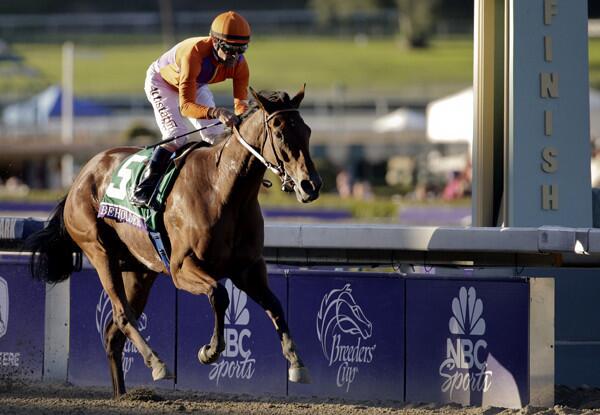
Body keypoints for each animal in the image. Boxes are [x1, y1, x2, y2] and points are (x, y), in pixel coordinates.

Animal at [25, 87, 322, 396]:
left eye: (307, 130)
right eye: (280, 133)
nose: (310, 185)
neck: (222, 189)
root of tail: (79, 178)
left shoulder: (248, 268)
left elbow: (275, 305)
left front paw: (296, 364)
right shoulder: (182, 267)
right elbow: (219, 294)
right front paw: (210, 351)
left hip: (139, 271)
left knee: (113, 332)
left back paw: (123, 393)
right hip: (99, 252)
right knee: (122, 314)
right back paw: (158, 364)